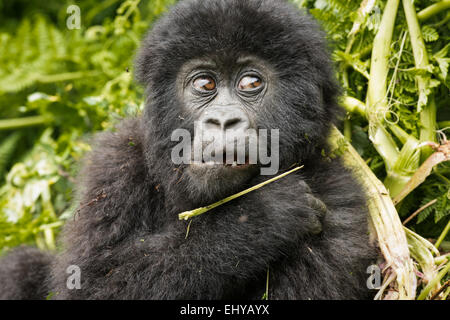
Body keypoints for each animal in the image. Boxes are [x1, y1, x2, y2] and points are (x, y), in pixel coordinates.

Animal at [0, 0, 376, 300]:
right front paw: (259, 217)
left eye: (251, 82)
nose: (222, 121)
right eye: (205, 84)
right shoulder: (117, 160)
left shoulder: (337, 197)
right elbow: (91, 284)